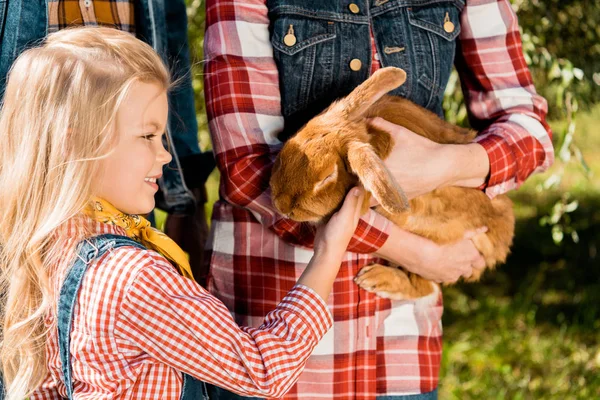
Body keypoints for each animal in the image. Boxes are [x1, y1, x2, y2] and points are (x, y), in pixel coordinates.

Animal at [270, 66, 512, 300]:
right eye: (289, 147)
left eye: (327, 177)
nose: (281, 205)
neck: (370, 134)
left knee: (424, 287)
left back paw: (376, 279)